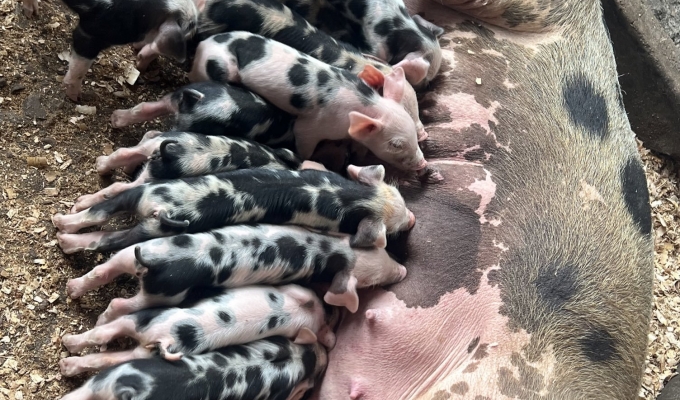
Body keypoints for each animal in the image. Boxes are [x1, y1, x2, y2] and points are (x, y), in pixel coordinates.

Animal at [66, 223, 407, 322]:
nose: (403, 270)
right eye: (371, 282)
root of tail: (155, 263)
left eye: (386, 252)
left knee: (103, 268)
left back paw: (71, 287)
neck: (335, 252)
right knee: (121, 304)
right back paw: (103, 319)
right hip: (164, 294)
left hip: (142, 250)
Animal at [71, 131, 301, 213]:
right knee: (119, 186)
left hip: (156, 146)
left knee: (127, 151)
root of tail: (172, 152)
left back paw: (99, 165)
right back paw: (78, 205)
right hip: (154, 174)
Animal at [110, 81, 296, 148]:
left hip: (175, 98)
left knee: (145, 107)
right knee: (153, 132)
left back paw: (115, 119)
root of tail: (199, 101)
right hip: (189, 126)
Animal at [188, 31, 428, 172]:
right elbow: (304, 142)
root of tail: (201, 45)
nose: (424, 163)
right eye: (395, 144)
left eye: (412, 133)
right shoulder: (312, 127)